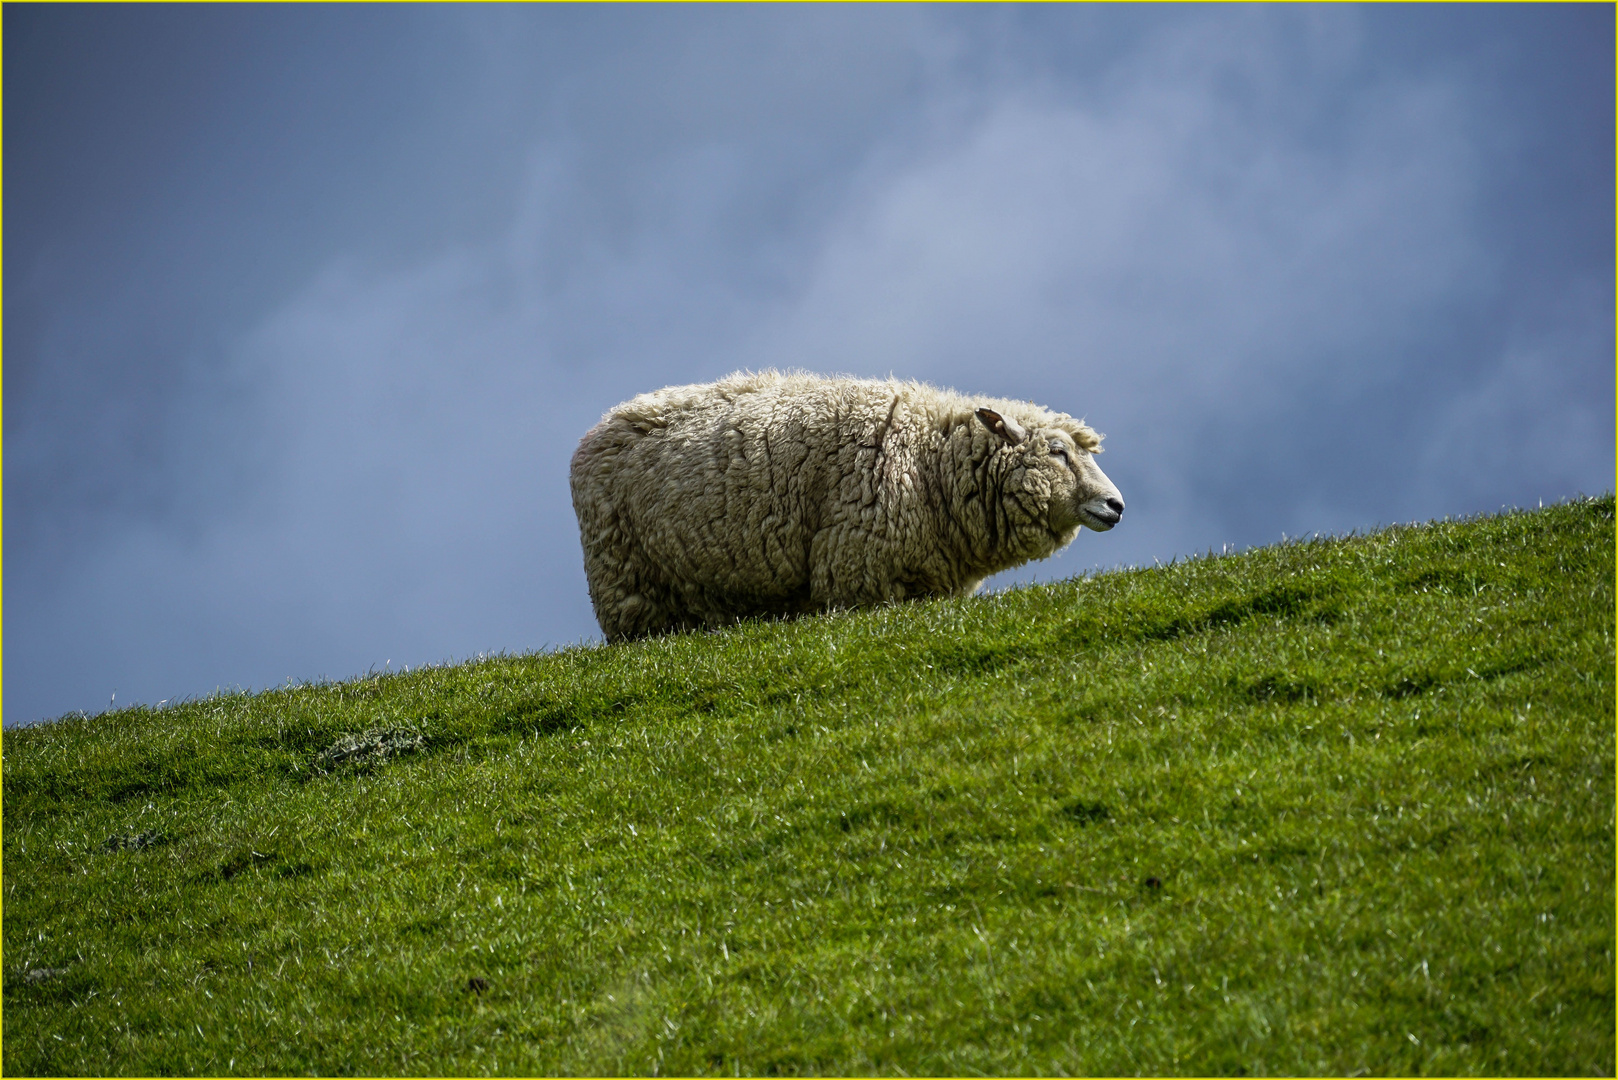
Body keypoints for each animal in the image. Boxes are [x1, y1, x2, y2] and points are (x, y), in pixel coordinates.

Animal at [569, 372, 1126, 641]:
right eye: (1057, 451)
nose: (1115, 505)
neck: (929, 460)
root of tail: (597, 428)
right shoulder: (858, 573)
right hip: (626, 582)